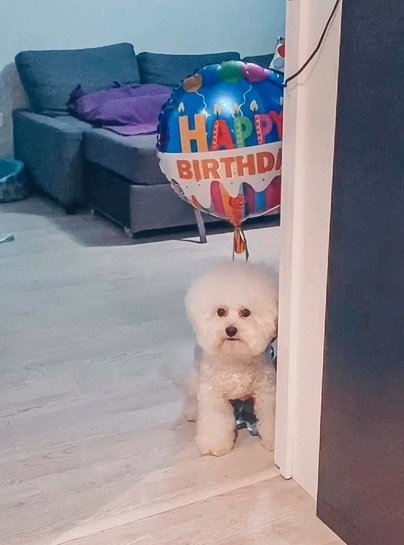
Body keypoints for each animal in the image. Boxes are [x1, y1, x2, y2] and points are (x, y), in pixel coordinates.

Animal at [183, 260, 278, 454]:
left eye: (246, 312)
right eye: (220, 311)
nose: (231, 330)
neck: (235, 355)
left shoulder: (266, 392)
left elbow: (269, 415)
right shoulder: (213, 393)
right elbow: (215, 419)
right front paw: (214, 444)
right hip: (196, 379)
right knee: (192, 397)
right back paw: (191, 412)